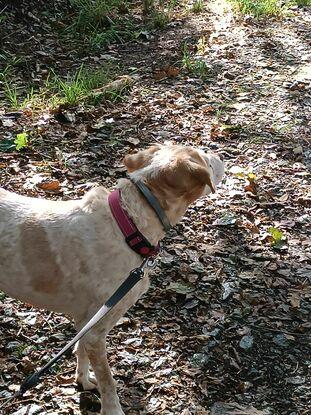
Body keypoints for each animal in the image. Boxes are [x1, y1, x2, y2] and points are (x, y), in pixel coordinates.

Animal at [0, 144, 224, 415]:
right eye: (207, 160)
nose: (221, 156)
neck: (129, 225)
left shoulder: (85, 321)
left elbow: (81, 352)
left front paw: (83, 381)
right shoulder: (96, 331)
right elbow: (108, 381)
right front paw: (112, 408)